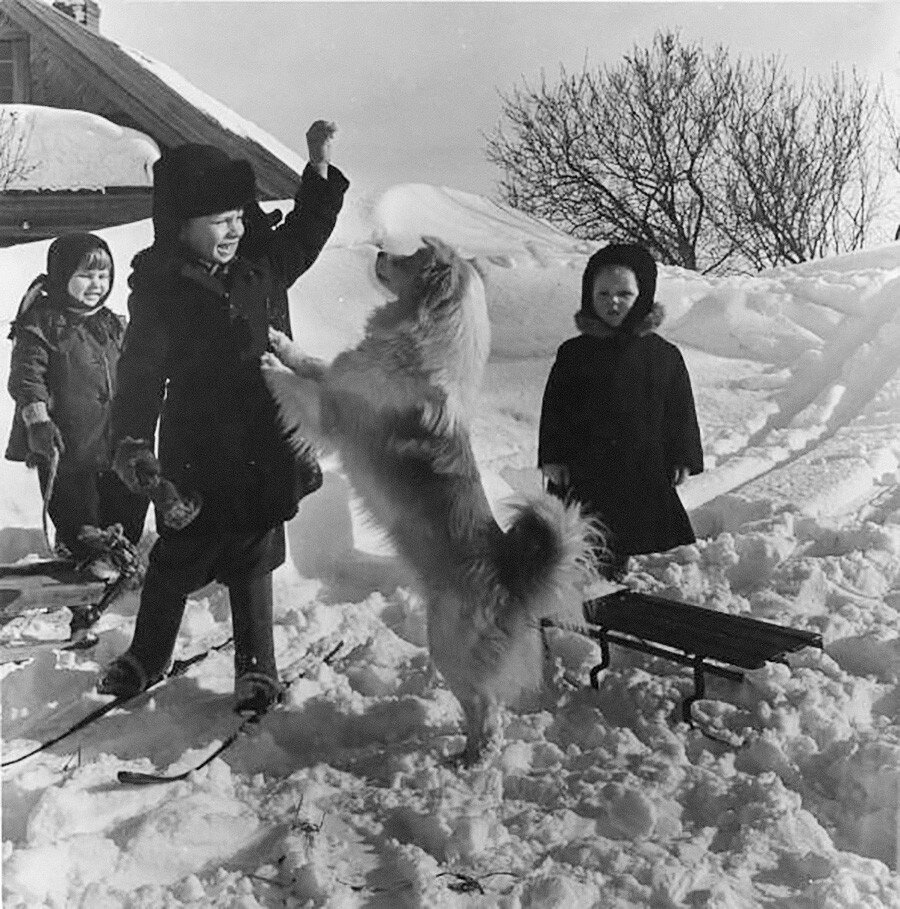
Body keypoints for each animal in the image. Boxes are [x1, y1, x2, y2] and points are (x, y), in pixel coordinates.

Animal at [260, 236, 596, 768]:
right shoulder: (339, 375)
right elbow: (314, 362)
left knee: (487, 709)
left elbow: (299, 386)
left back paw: (471, 759)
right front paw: (279, 342)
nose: (378, 252)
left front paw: (268, 364)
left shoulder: (330, 411)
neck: (424, 344)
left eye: (411, 258)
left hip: (447, 645)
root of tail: (513, 578)